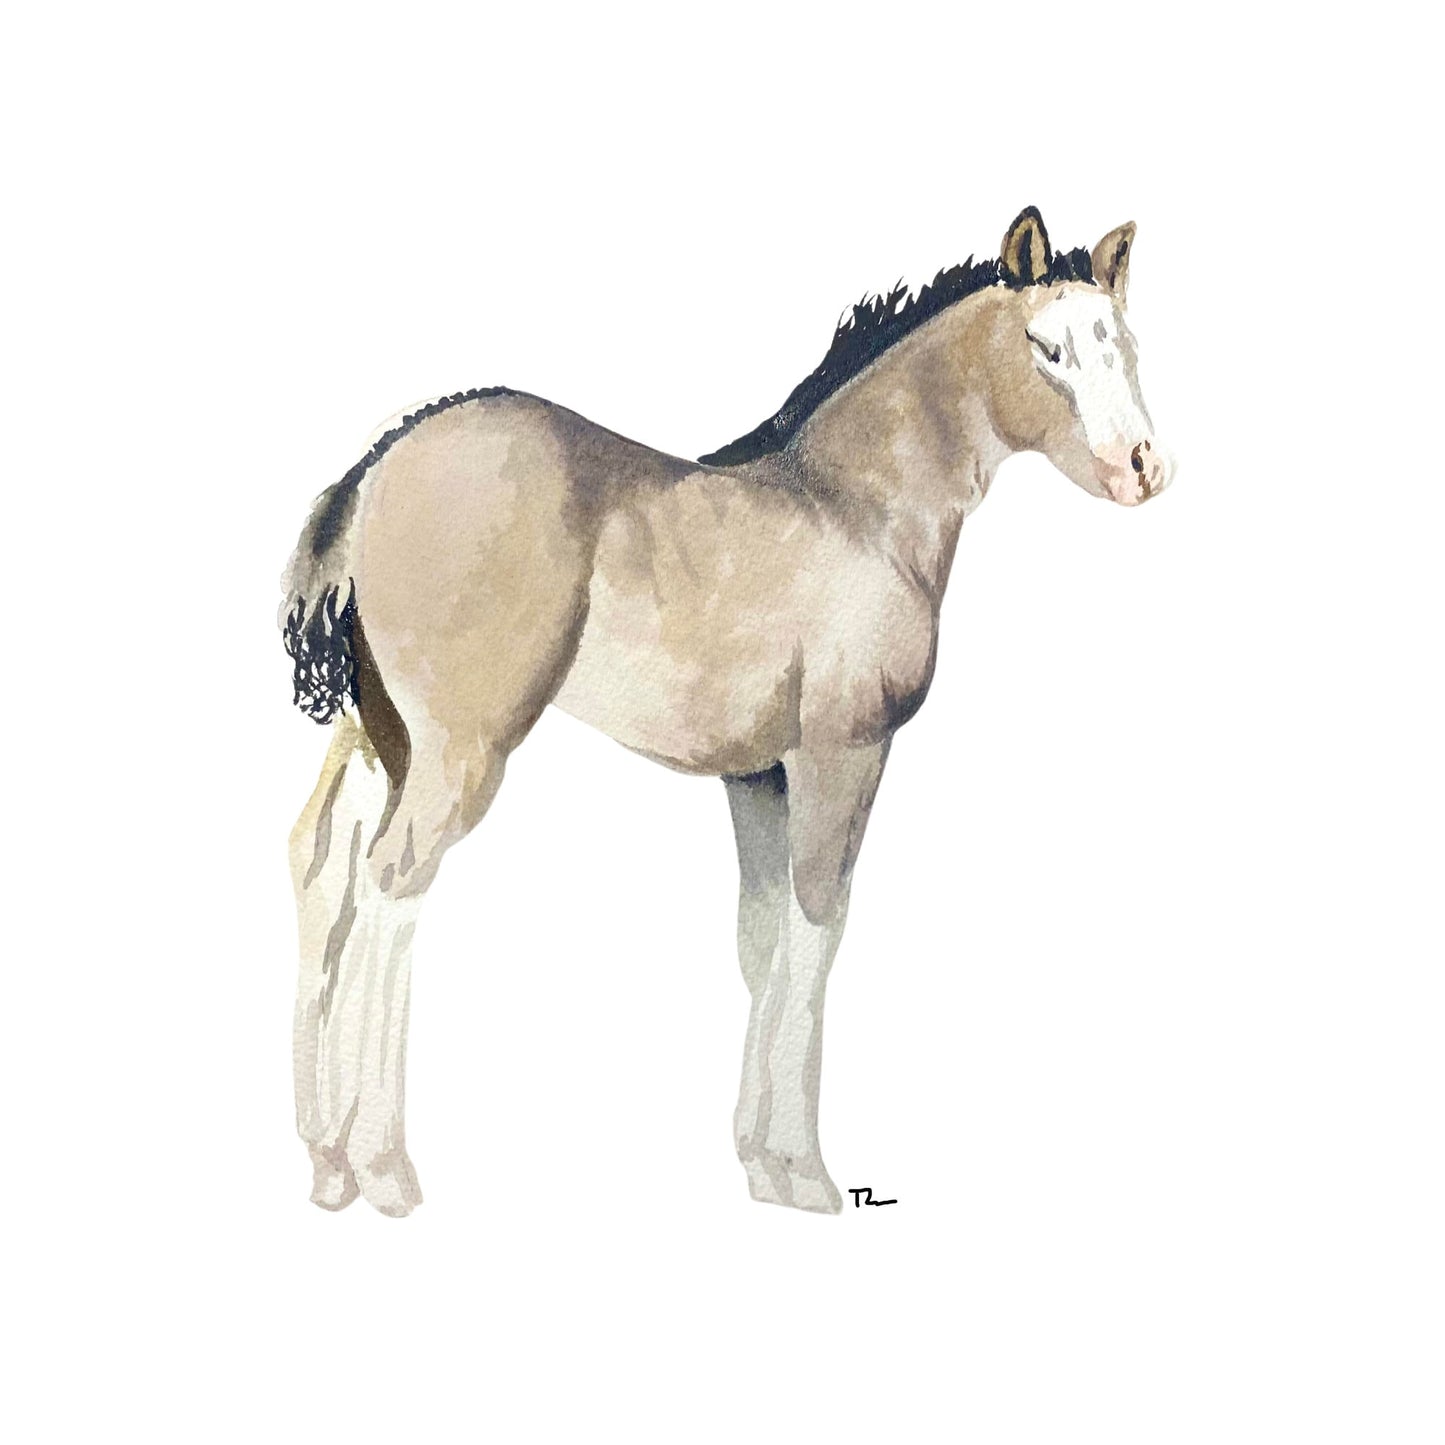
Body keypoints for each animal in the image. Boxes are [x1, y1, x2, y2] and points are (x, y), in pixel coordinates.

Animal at [280, 206, 1174, 1217]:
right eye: (1045, 347)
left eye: (1124, 344)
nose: (1141, 467)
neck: (855, 504)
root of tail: (378, 462)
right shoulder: (841, 755)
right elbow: (818, 927)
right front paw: (808, 1170)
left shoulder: (757, 777)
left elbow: (762, 938)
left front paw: (758, 1164)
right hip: (457, 750)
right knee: (392, 881)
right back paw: (384, 1165)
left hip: (378, 736)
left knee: (322, 868)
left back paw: (327, 1162)